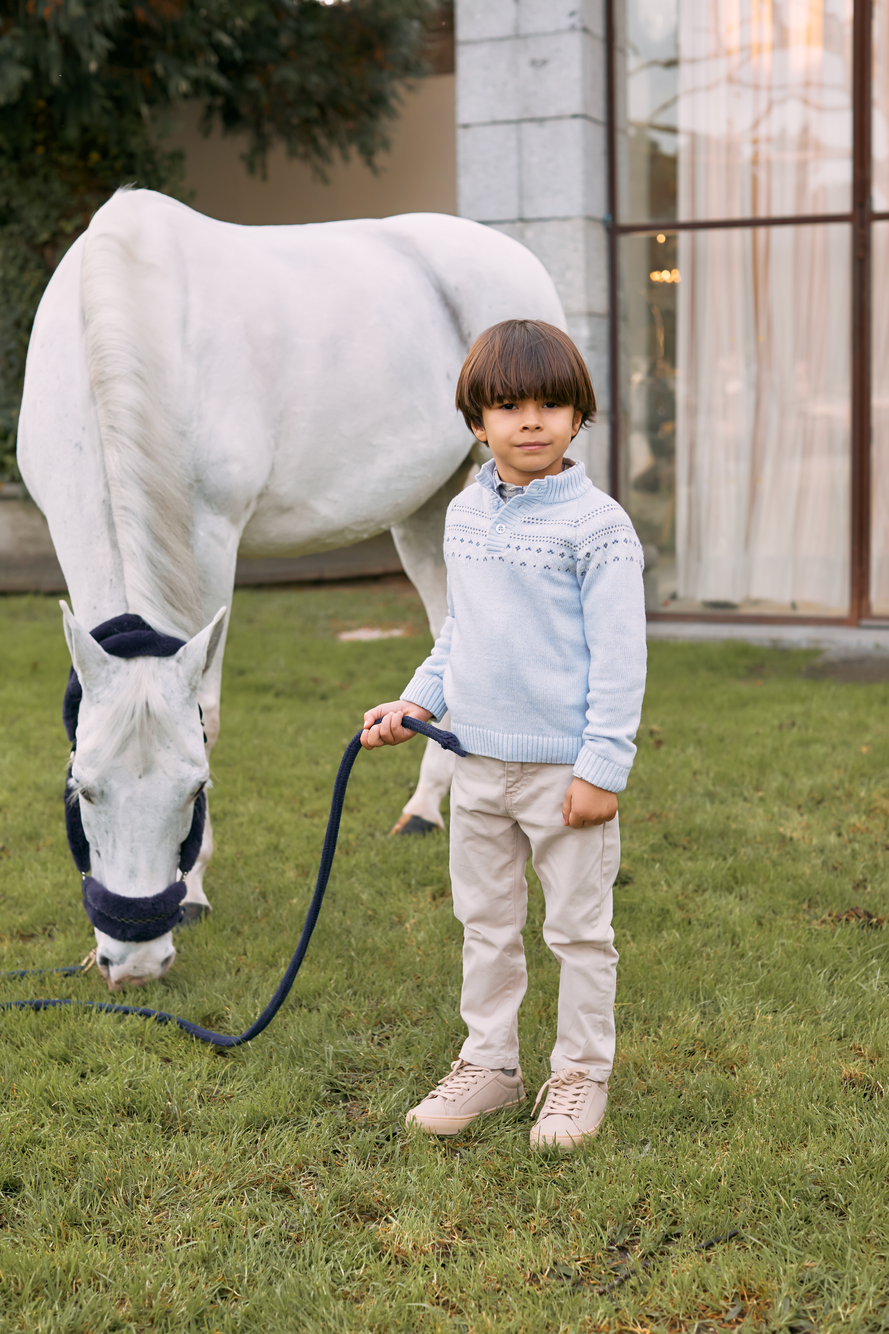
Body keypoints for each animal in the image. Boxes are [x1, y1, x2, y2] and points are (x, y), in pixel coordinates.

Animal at [15, 188, 560, 987]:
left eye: (197, 789)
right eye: (82, 788)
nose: (136, 961)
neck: (127, 316)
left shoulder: (214, 539)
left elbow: (207, 711)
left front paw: (196, 889)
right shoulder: (64, 516)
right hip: (427, 511)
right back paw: (426, 808)